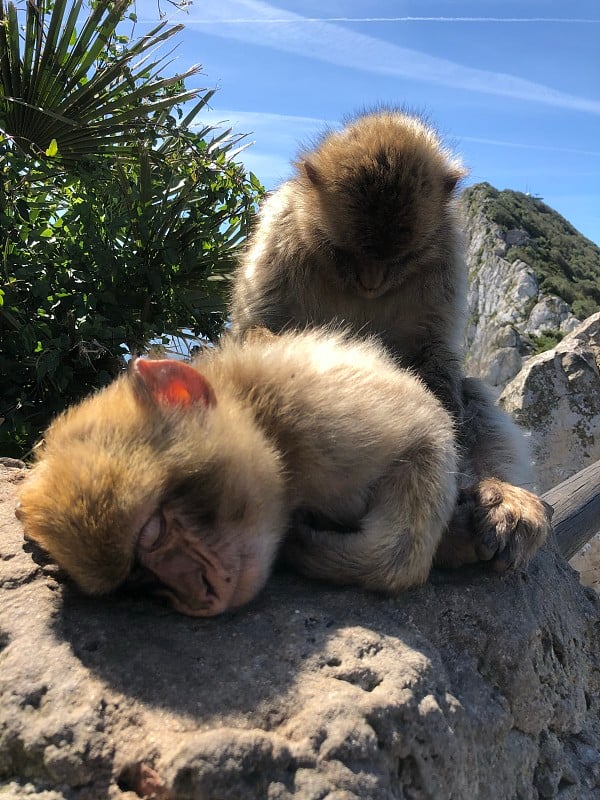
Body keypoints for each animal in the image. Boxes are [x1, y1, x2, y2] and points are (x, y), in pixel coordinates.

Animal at [230, 108, 552, 568]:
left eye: (400, 256)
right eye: (349, 251)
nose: (371, 282)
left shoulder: (445, 254)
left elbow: (437, 358)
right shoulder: (281, 228)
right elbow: (254, 328)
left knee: (470, 394)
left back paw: (501, 499)